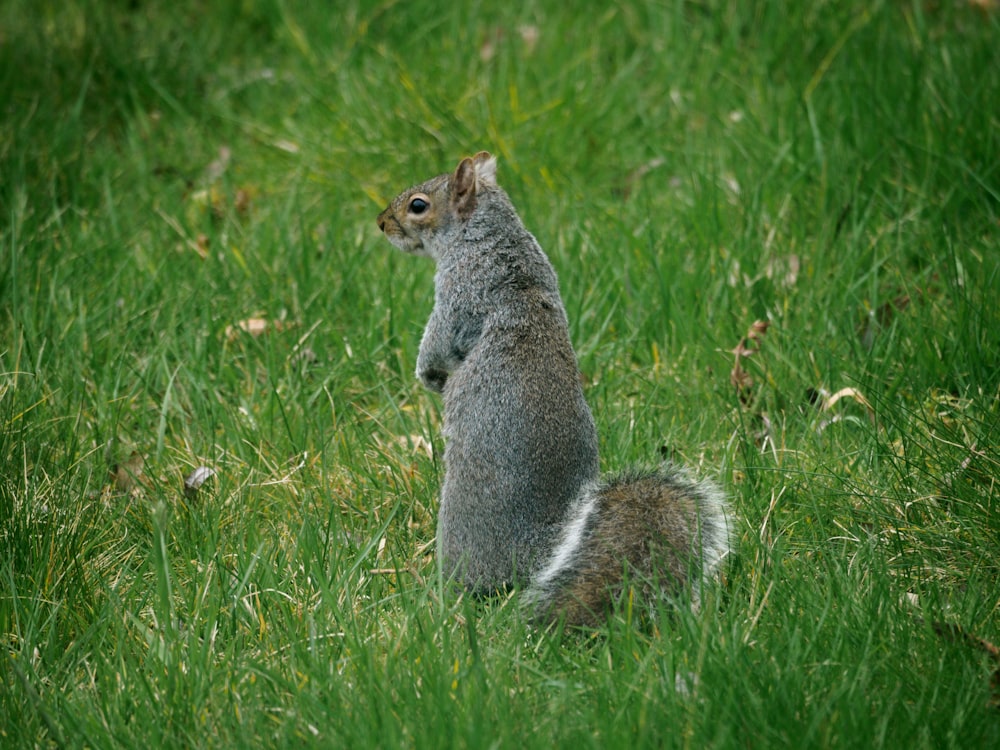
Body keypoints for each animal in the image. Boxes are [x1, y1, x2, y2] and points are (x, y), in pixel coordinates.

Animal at [378, 153, 732, 628]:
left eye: (418, 205)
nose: (382, 222)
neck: (493, 239)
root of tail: (541, 556)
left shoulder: (460, 293)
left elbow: (440, 343)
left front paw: (429, 376)